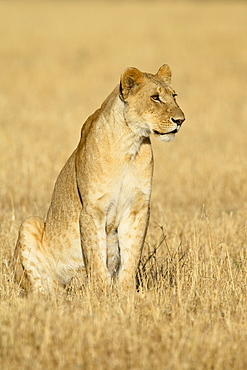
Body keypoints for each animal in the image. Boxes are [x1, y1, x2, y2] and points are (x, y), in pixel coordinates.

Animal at [12, 64, 184, 294]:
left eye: (173, 96)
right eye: (155, 98)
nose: (180, 120)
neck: (130, 144)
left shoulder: (137, 208)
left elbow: (132, 253)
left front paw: (127, 292)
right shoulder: (93, 208)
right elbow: (94, 254)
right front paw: (101, 292)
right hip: (30, 224)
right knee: (41, 288)